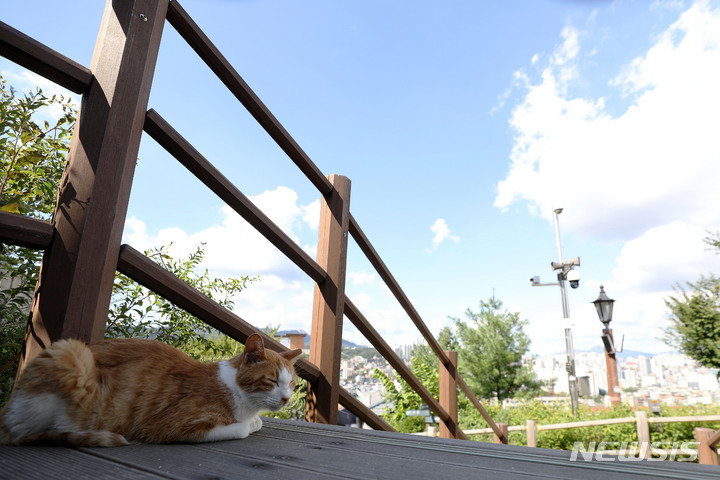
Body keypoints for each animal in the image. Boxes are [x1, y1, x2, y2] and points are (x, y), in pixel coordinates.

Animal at [0, 334, 300, 446]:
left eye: (292, 384)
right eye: (272, 381)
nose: (287, 399)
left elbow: (256, 422)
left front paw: (257, 421)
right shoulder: (171, 427)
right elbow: (241, 429)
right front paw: (249, 425)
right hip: (70, 352)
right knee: (24, 434)